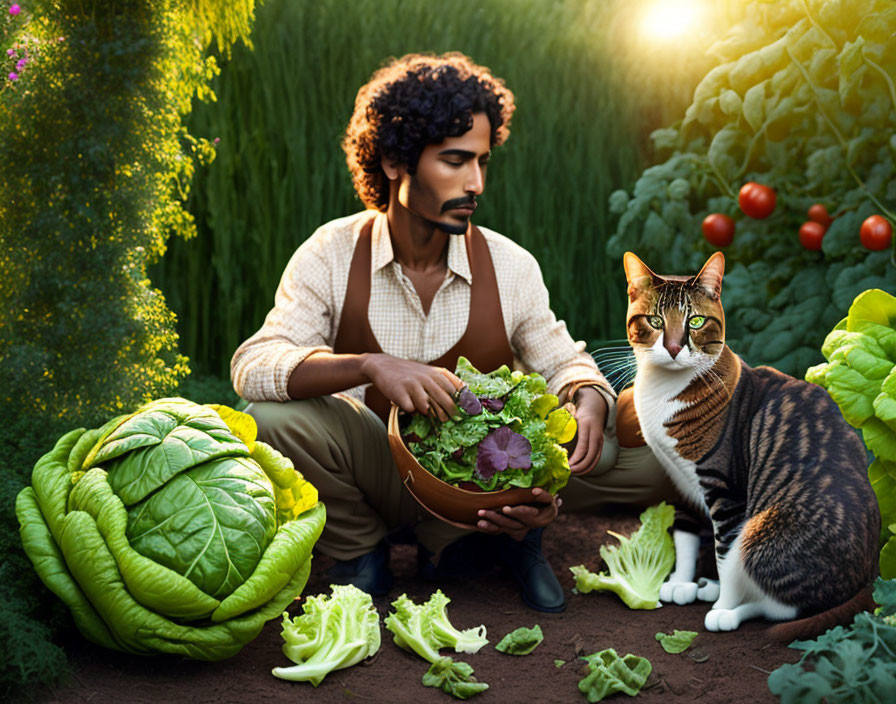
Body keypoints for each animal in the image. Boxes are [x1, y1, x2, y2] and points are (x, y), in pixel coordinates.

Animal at [620, 252, 880, 632]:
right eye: (655, 320)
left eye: (696, 321)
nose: (673, 348)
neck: (663, 392)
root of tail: (866, 578)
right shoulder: (677, 478)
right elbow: (685, 532)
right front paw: (681, 581)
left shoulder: (726, 486)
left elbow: (725, 555)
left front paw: (723, 605)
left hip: (762, 527)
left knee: (781, 606)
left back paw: (731, 610)